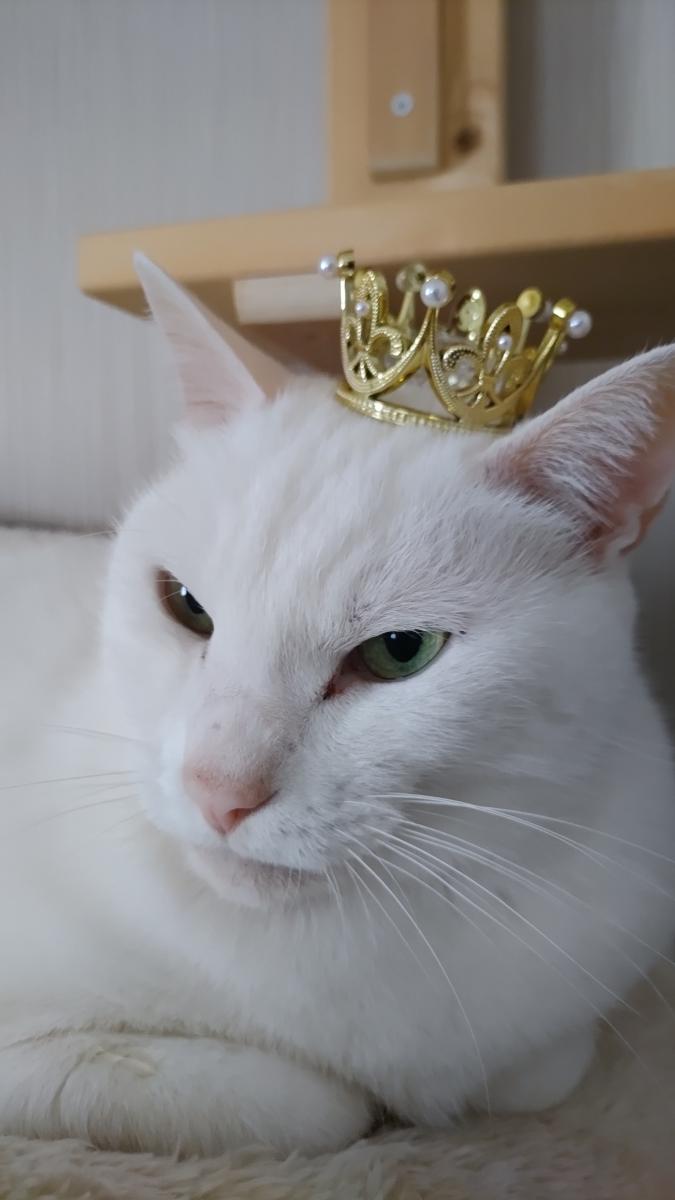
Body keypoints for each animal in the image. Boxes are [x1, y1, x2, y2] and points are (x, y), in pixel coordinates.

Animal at [0, 255, 674, 1157]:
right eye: (187, 606)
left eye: (400, 651)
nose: (219, 791)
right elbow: (302, 1107)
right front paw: (357, 1102)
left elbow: (536, 1073)